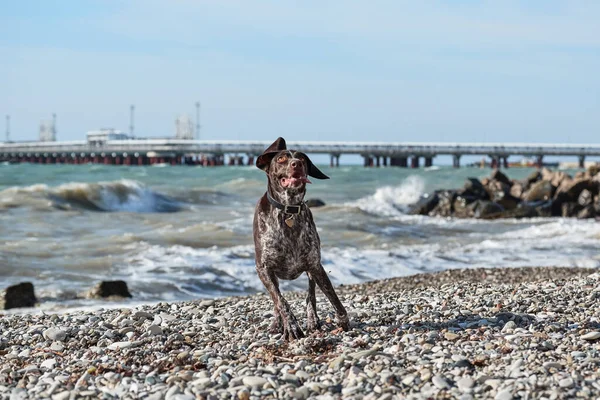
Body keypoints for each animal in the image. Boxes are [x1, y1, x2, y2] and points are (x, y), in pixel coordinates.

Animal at [252, 138, 346, 340]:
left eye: (302, 158)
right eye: (281, 159)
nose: (297, 164)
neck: (288, 210)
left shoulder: (315, 265)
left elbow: (331, 296)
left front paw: (343, 321)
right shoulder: (263, 269)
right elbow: (281, 301)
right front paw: (292, 326)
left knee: (311, 295)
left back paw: (312, 320)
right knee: (277, 299)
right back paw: (278, 323)